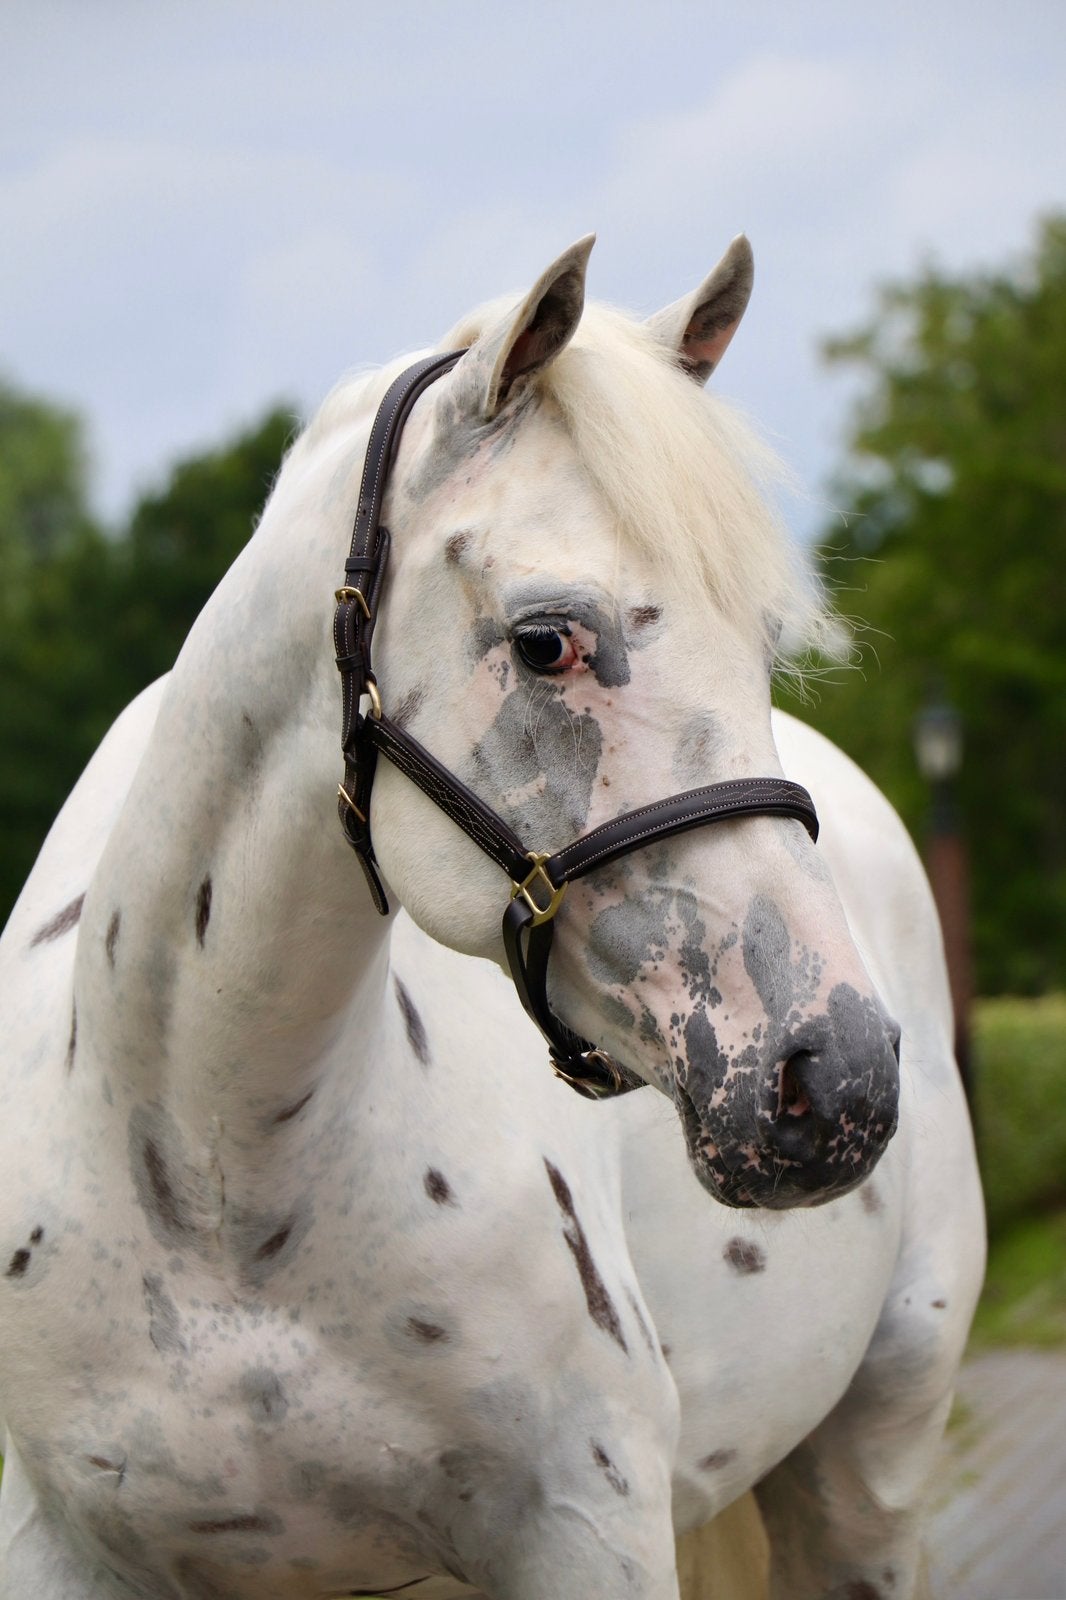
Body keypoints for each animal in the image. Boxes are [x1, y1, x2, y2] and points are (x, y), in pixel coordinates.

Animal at [0, 234, 984, 1600]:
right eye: (545, 641)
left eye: (764, 639)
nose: (833, 1076)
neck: (208, 1178)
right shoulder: (58, 1547)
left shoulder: (586, 1522)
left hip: (871, 1465)